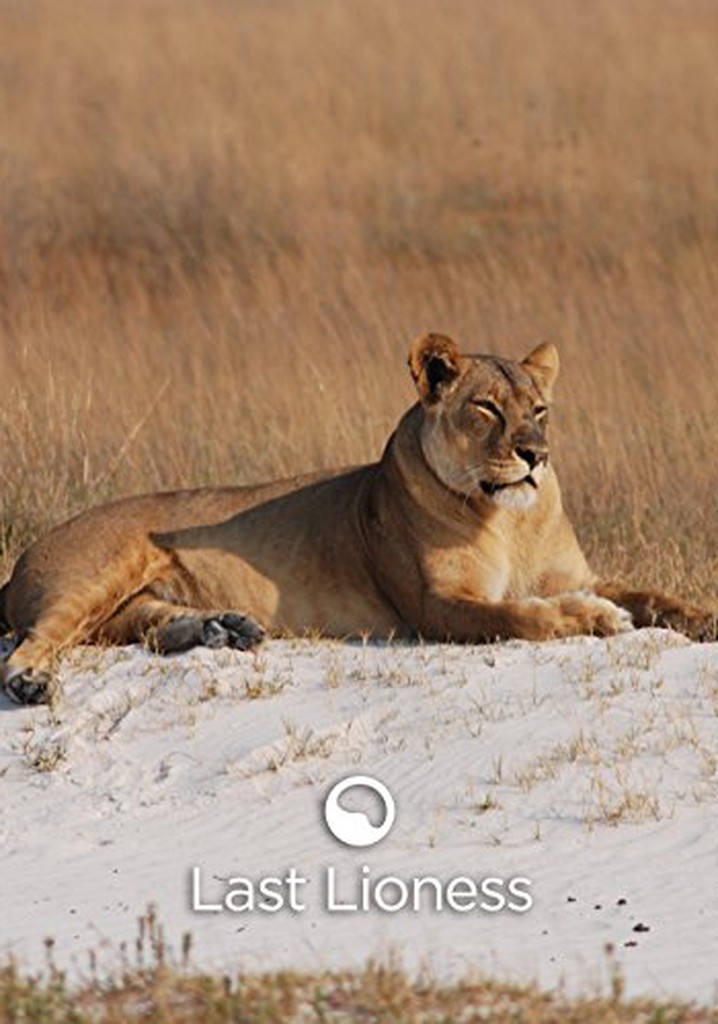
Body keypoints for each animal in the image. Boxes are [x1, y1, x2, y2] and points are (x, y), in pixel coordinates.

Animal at [1, 333, 715, 705]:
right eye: (486, 407)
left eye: (540, 410)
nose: (535, 454)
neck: (511, 520)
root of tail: (20, 562)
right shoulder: (438, 606)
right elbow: (523, 616)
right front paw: (596, 619)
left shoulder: (576, 573)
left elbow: (654, 595)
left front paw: (703, 618)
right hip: (98, 571)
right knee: (37, 639)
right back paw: (32, 682)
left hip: (129, 600)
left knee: (141, 626)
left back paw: (223, 629)